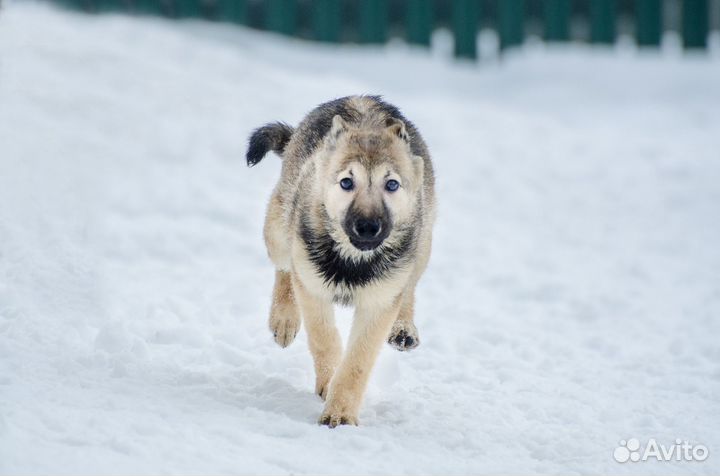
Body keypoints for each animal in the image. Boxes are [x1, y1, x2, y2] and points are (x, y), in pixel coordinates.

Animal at [248, 95, 436, 426]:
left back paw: (403, 328)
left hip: (423, 242)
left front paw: (340, 413)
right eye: (347, 182)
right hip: (278, 228)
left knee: (410, 284)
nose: (368, 227)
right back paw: (283, 318)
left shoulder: (378, 303)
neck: (354, 260)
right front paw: (329, 381)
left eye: (392, 185)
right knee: (284, 267)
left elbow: (358, 363)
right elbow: (323, 339)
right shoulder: (312, 287)